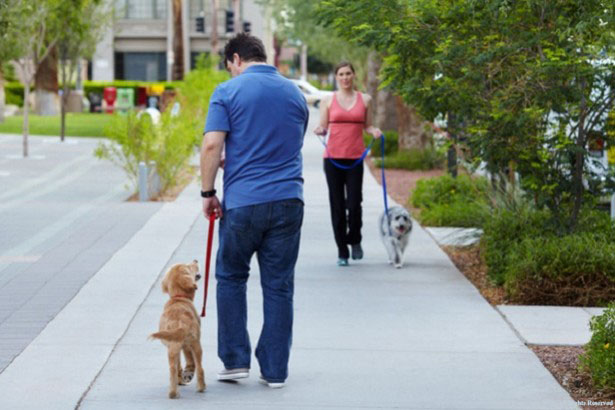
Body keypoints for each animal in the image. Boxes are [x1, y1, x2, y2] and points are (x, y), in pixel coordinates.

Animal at [150, 262, 206, 398]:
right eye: (189, 266)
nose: (195, 260)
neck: (178, 297)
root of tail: (180, 321)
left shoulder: (179, 346)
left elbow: (180, 364)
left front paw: (181, 379)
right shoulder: (186, 345)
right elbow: (187, 361)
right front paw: (186, 375)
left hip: (173, 348)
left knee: (173, 369)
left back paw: (173, 392)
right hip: (194, 344)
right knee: (199, 367)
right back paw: (200, 387)